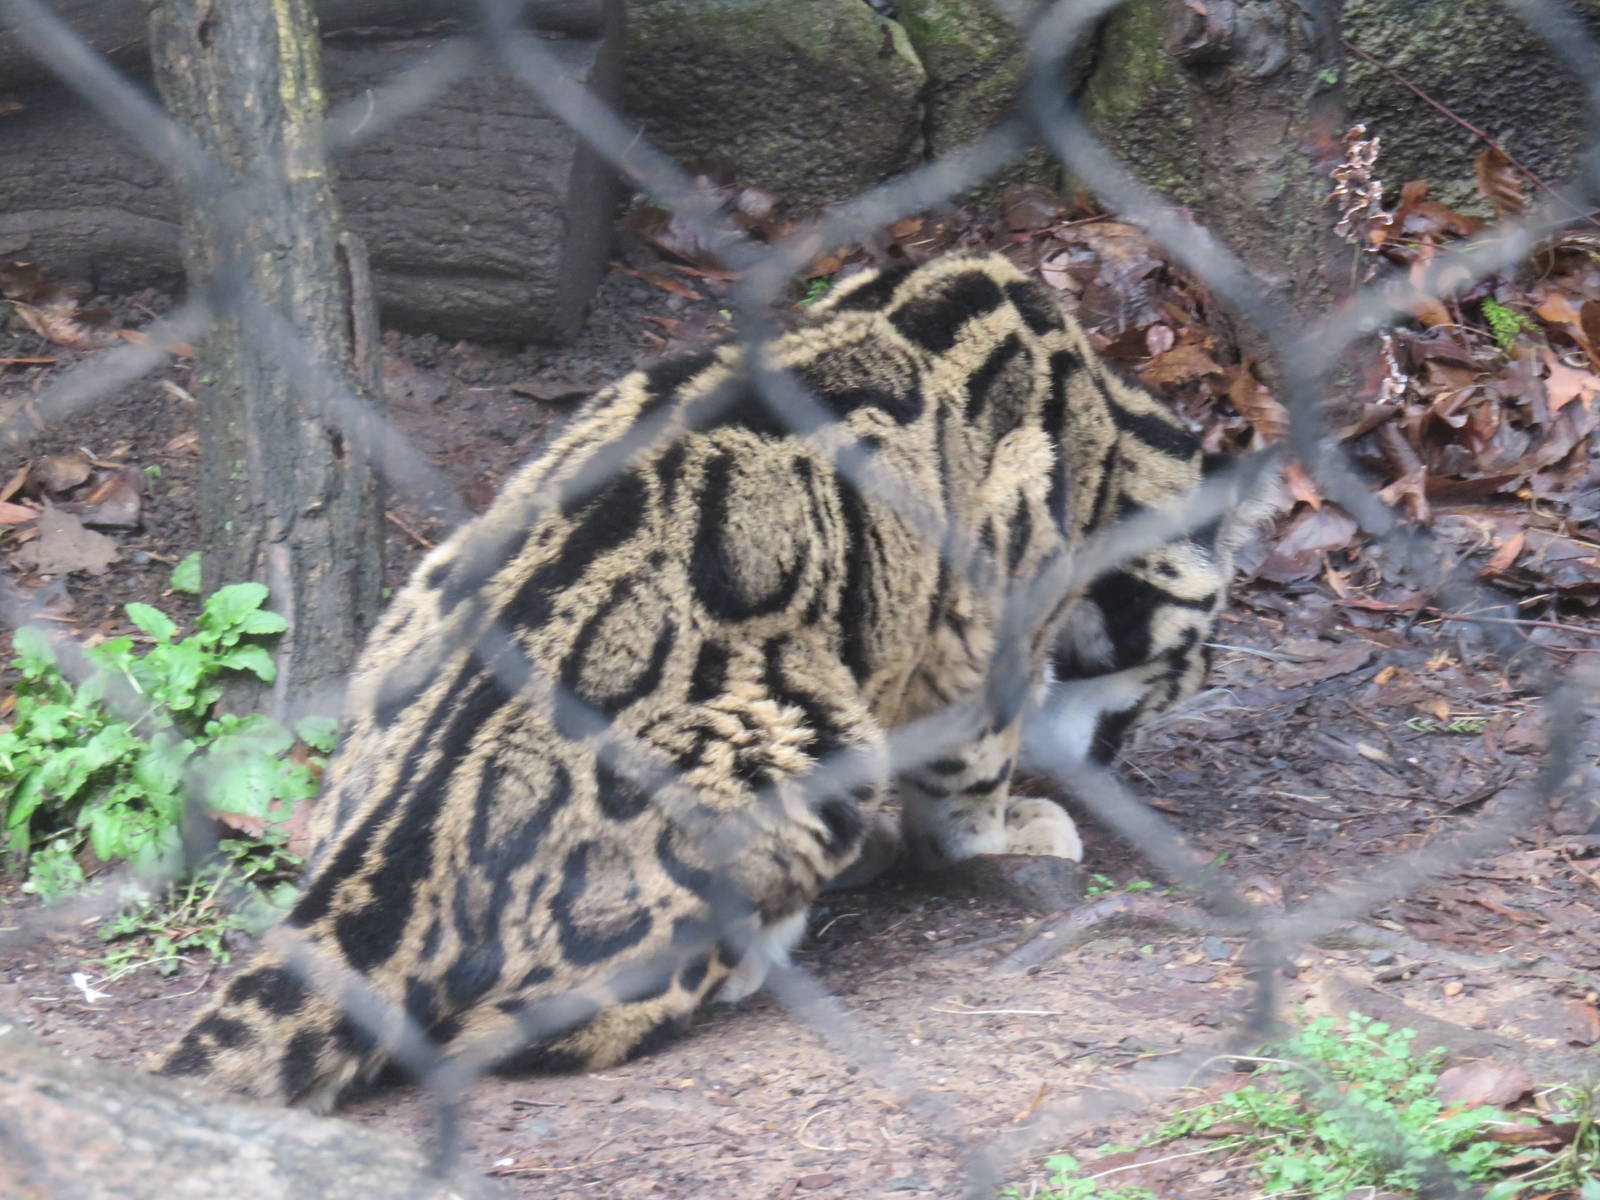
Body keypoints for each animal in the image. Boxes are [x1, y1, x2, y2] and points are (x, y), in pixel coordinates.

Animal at [159, 252, 1271, 1110]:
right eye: (1192, 654)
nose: (1112, 756)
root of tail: (378, 862)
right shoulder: (984, 619)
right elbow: (972, 770)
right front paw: (1010, 831)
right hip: (790, 737)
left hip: (424, 596)